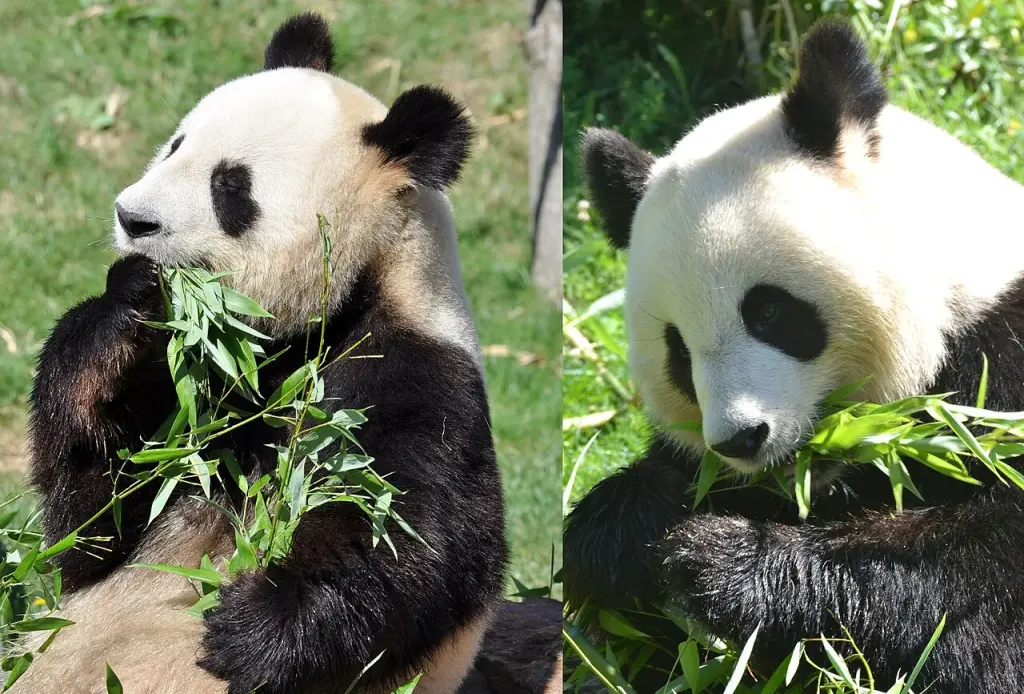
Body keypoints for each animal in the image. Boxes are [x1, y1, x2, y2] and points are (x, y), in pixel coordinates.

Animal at [20, 13, 506, 694]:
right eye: (176, 146)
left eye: (230, 187)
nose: (131, 218)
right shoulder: (196, 405)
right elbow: (89, 528)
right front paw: (133, 302)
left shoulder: (417, 378)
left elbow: (411, 541)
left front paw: (247, 629)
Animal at [565, 19, 1024, 694]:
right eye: (677, 349)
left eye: (769, 312)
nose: (740, 438)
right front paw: (630, 531)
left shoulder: (1000, 367)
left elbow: (977, 584)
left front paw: (722, 563)